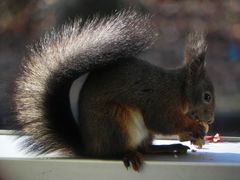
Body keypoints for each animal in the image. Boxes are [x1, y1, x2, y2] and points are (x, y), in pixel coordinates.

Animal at [13, 9, 216, 172]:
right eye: (207, 97)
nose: (211, 120)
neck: (179, 90)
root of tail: (91, 148)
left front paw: (191, 134)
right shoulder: (160, 100)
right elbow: (163, 122)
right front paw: (194, 127)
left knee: (145, 148)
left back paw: (168, 147)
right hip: (115, 121)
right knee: (116, 151)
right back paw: (129, 155)